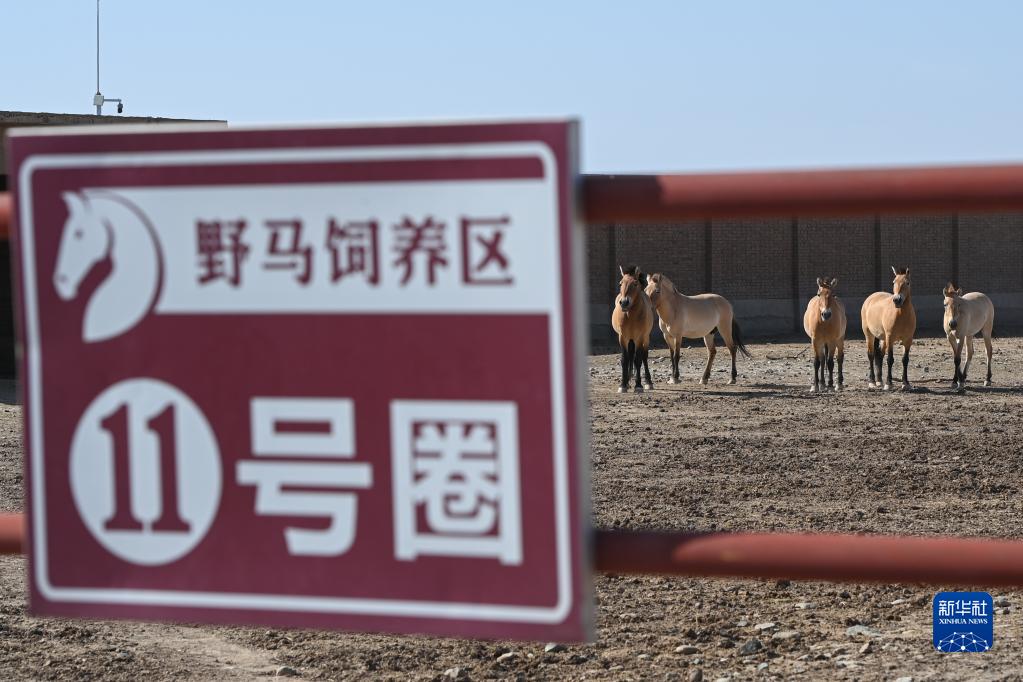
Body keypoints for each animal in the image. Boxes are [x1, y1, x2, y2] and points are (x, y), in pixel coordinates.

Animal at [611, 265, 654, 393]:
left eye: (635, 283)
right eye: (620, 283)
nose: (624, 302)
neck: (630, 315)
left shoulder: (639, 337)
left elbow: (638, 359)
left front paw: (638, 385)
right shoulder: (622, 337)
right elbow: (624, 359)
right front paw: (623, 385)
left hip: (645, 338)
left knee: (644, 357)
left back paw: (648, 382)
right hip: (630, 339)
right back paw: (628, 380)